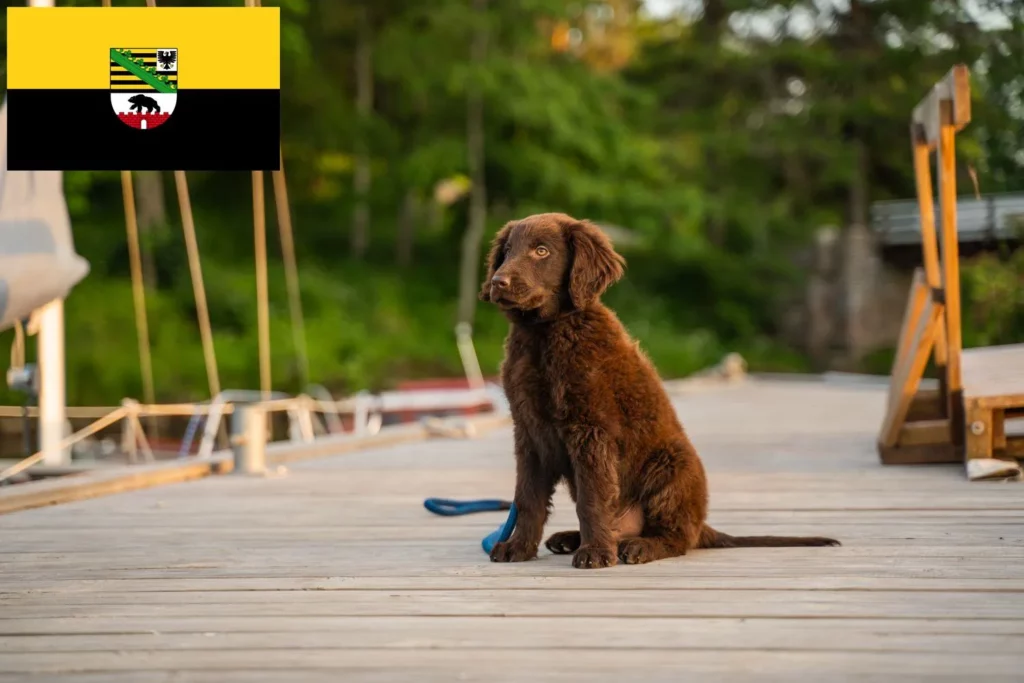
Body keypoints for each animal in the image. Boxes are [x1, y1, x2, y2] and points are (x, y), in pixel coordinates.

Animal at [479, 210, 839, 569]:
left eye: (541, 251)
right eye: (507, 251)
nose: (498, 282)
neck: (544, 335)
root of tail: (701, 525)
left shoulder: (591, 428)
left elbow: (593, 498)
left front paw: (595, 553)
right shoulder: (530, 432)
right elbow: (528, 498)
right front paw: (519, 547)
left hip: (670, 467)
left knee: (676, 537)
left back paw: (638, 547)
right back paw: (572, 539)